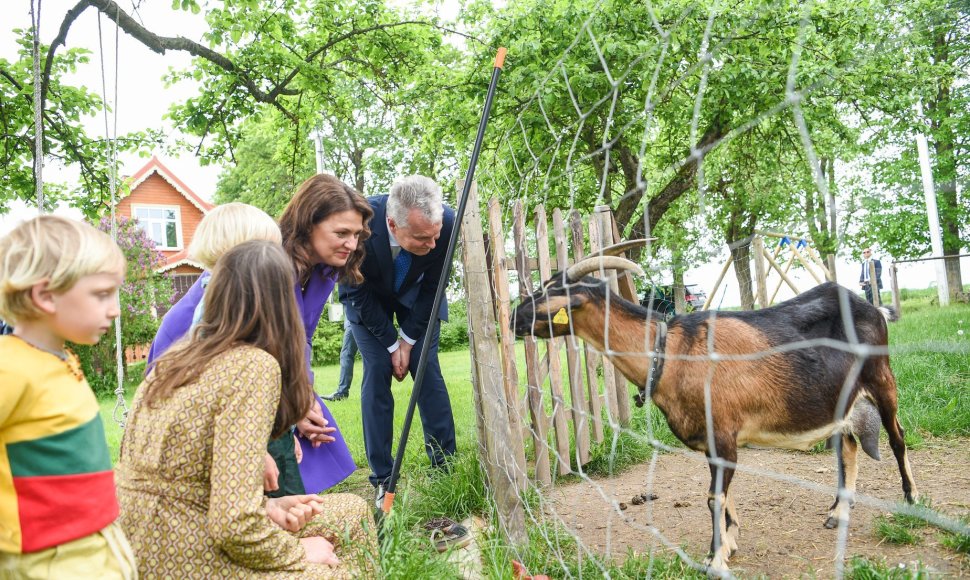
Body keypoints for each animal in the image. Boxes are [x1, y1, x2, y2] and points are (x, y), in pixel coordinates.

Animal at [510, 253, 920, 576]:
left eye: (551, 291)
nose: (512, 315)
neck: (671, 351)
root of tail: (875, 309)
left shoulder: (722, 431)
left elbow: (713, 497)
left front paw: (714, 558)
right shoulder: (714, 437)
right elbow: (723, 493)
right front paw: (730, 541)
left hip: (882, 379)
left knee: (897, 437)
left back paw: (911, 499)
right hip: (840, 399)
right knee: (848, 447)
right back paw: (838, 512)